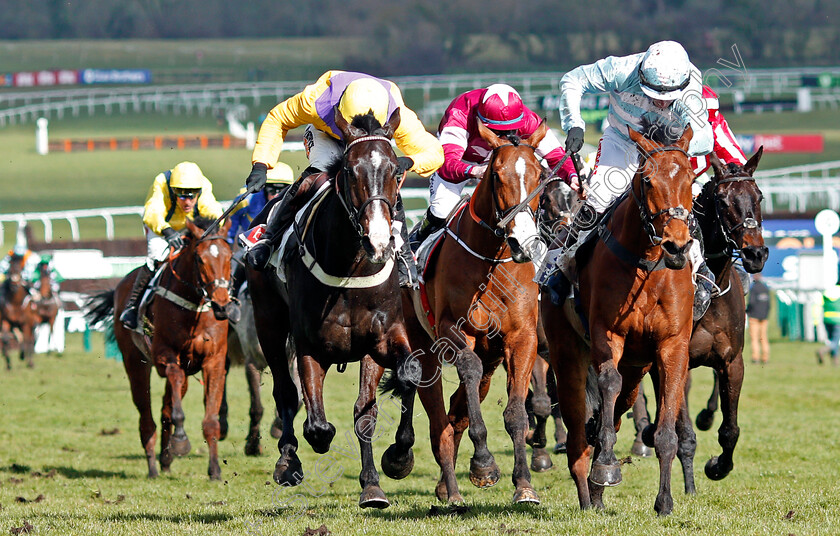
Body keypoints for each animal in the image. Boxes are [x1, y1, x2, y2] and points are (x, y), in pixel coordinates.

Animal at [85, 219, 235, 482]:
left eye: (229, 256)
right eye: (199, 259)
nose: (221, 305)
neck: (194, 306)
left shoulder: (213, 362)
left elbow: (210, 421)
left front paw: (215, 470)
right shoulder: (165, 357)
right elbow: (175, 401)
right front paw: (181, 440)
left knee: (166, 408)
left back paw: (165, 460)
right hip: (135, 363)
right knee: (147, 418)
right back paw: (154, 467)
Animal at [248, 110, 420, 510]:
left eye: (395, 171)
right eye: (350, 172)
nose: (378, 241)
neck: (350, 269)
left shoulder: (382, 339)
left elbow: (384, 396)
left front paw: (387, 469)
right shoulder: (312, 346)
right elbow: (317, 424)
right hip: (268, 322)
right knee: (285, 391)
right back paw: (287, 461)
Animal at [402, 119, 548, 504]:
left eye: (540, 173)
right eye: (496, 175)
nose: (523, 242)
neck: (492, 262)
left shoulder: (521, 337)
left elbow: (516, 412)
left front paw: (524, 484)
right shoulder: (454, 330)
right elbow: (467, 370)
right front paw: (483, 463)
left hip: (492, 354)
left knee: (460, 405)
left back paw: (445, 483)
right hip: (425, 347)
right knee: (439, 418)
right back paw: (449, 489)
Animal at [544, 125, 696, 516]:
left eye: (690, 178)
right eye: (647, 180)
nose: (676, 245)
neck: (647, 266)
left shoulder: (673, 346)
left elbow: (666, 428)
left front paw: (665, 501)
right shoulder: (607, 334)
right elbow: (607, 384)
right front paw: (607, 467)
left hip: (636, 369)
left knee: (616, 409)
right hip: (567, 357)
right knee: (578, 436)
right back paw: (589, 493)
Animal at [636, 147, 768, 490]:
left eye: (759, 195)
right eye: (722, 200)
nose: (756, 254)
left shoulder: (733, 362)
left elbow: (730, 429)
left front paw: (718, 466)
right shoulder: (674, 361)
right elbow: (683, 433)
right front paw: (691, 483)